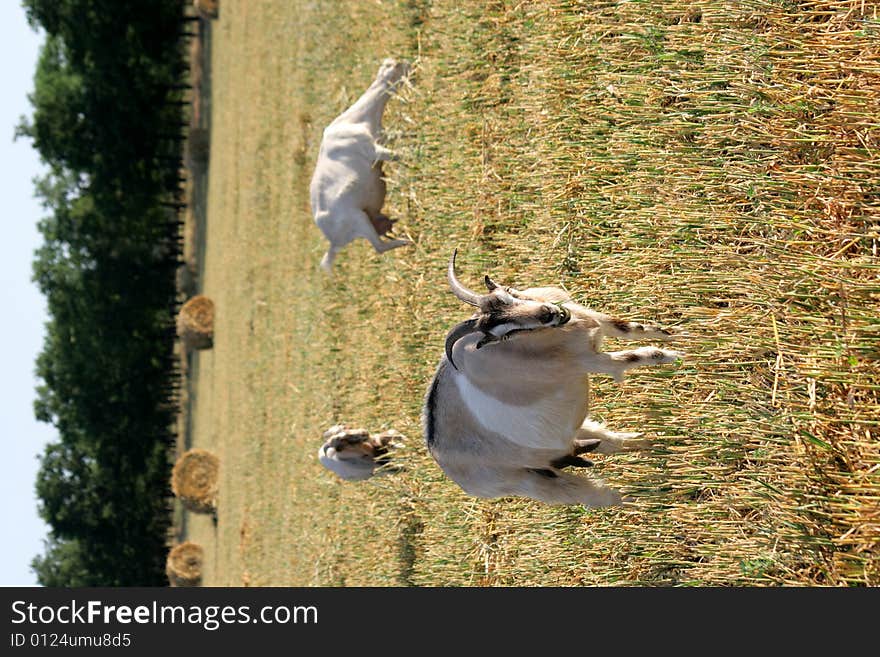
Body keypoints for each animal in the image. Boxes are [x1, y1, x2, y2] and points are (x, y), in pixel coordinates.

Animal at [310, 56, 412, 272]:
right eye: (398, 65)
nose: (410, 63)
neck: (355, 120)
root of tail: (333, 241)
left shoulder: (382, 137)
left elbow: (402, 135)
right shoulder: (373, 150)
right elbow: (398, 155)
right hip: (358, 219)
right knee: (379, 247)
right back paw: (406, 241)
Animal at [422, 251, 684, 508]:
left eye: (509, 293)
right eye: (507, 333)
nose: (548, 313)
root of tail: (447, 464)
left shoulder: (593, 320)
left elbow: (631, 328)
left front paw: (678, 333)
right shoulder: (592, 361)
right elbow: (639, 355)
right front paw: (678, 356)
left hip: (565, 439)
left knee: (608, 442)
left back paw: (653, 445)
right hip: (535, 482)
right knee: (600, 496)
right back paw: (645, 499)